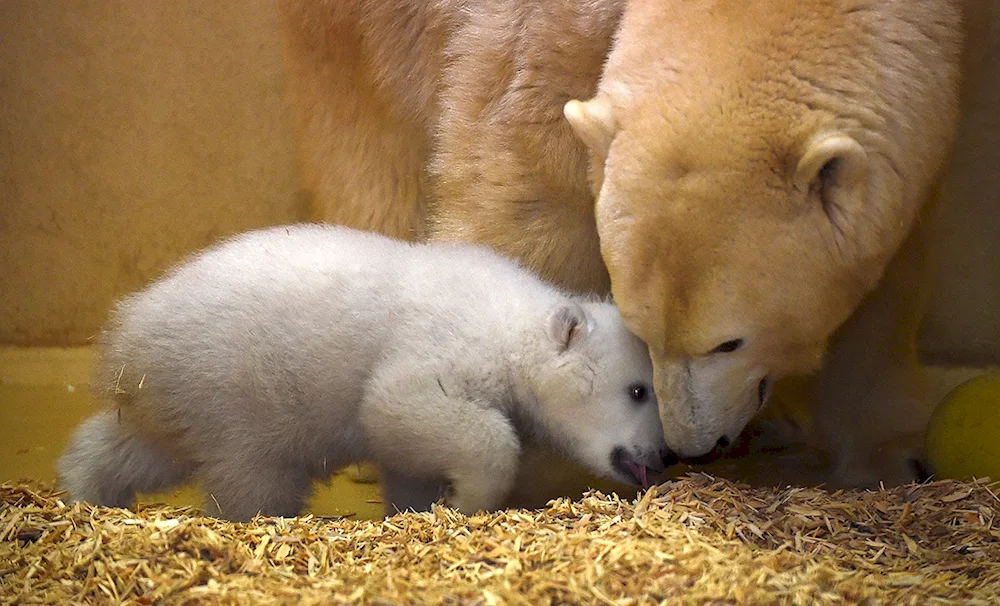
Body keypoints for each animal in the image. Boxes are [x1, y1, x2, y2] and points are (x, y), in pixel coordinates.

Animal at [276, 0, 992, 490]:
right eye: (641, 330)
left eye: (729, 342)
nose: (693, 445)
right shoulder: (543, 45)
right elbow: (523, 197)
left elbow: (886, 278)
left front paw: (886, 457)